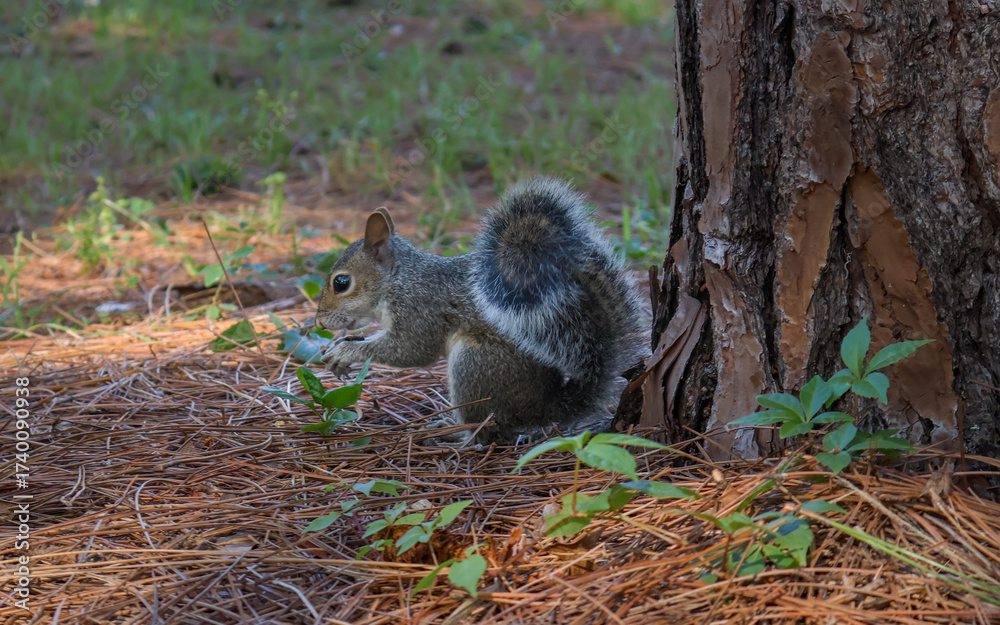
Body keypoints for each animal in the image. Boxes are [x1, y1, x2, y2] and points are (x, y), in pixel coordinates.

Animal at [314, 177, 644, 444]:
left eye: (341, 282)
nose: (319, 322)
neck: (399, 279)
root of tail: (543, 408)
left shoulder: (420, 309)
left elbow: (411, 351)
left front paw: (347, 352)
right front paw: (339, 347)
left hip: (474, 367)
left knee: (488, 432)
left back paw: (454, 436)